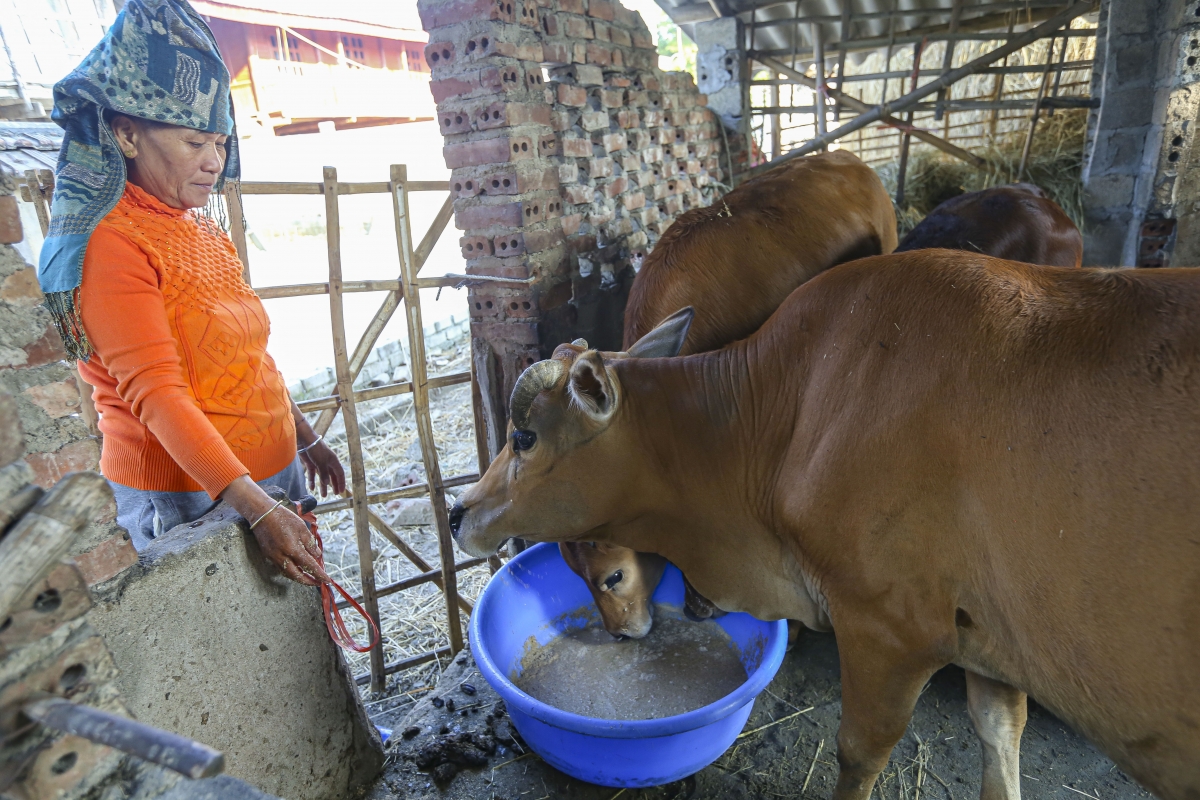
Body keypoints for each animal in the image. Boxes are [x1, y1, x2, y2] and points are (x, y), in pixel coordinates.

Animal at [451, 255, 1200, 800]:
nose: (458, 512)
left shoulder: (889, 628)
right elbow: (999, 733)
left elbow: (859, 751)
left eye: (523, 436)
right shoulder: (995, 640)